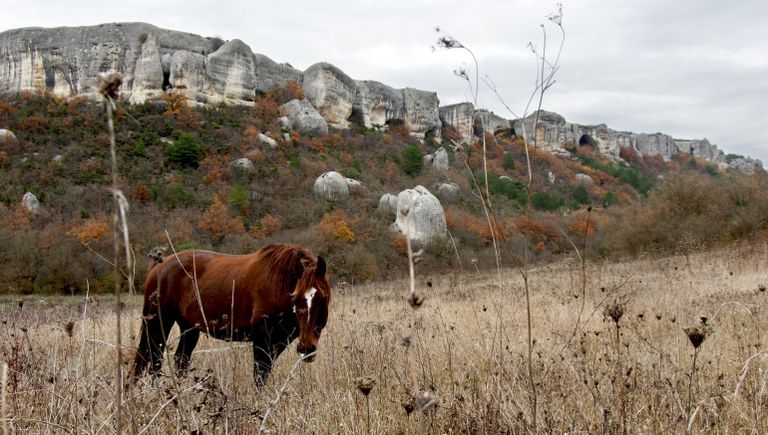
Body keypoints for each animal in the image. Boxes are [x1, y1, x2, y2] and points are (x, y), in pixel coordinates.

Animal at [130, 244, 331, 386]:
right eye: (296, 298)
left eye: (322, 299)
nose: (307, 348)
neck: (279, 284)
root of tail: (158, 266)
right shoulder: (261, 338)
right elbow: (260, 375)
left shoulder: (278, 340)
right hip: (158, 323)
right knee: (149, 359)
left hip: (188, 328)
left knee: (179, 361)